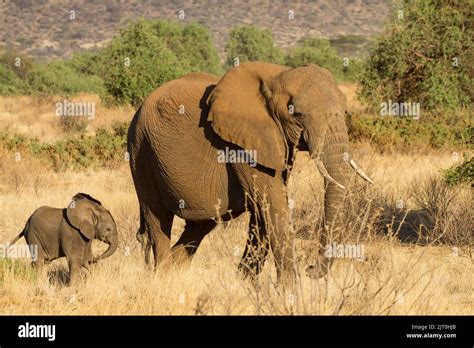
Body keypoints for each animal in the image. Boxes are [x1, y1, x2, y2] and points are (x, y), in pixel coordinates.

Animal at [128, 61, 372, 286]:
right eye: (295, 113)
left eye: (345, 111)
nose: (310, 268)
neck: (279, 75)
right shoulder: (242, 145)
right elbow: (273, 204)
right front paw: (290, 292)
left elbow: (262, 212)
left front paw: (244, 283)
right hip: (141, 151)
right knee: (157, 217)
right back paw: (162, 277)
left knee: (200, 225)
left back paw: (174, 272)